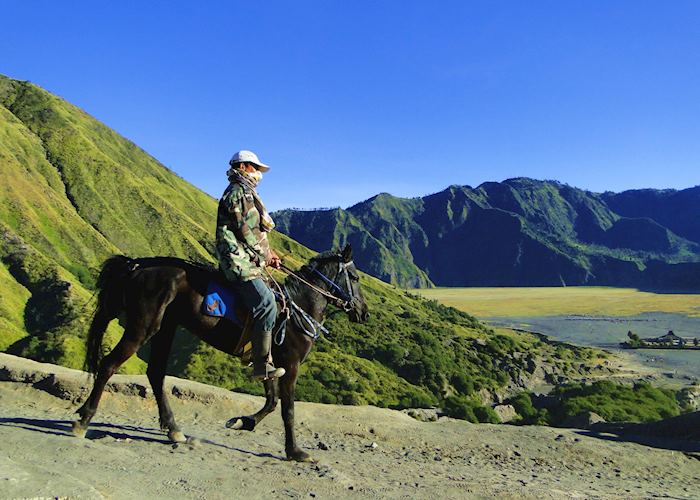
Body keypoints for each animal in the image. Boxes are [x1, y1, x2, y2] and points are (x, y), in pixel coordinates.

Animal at [74, 244, 370, 462]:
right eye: (355, 277)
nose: (363, 312)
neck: (298, 307)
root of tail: (138, 266)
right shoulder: (291, 364)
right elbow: (287, 409)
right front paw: (295, 451)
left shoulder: (269, 362)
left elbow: (271, 401)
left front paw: (242, 422)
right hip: (142, 327)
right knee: (108, 365)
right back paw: (84, 420)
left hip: (164, 329)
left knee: (155, 373)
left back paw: (173, 430)